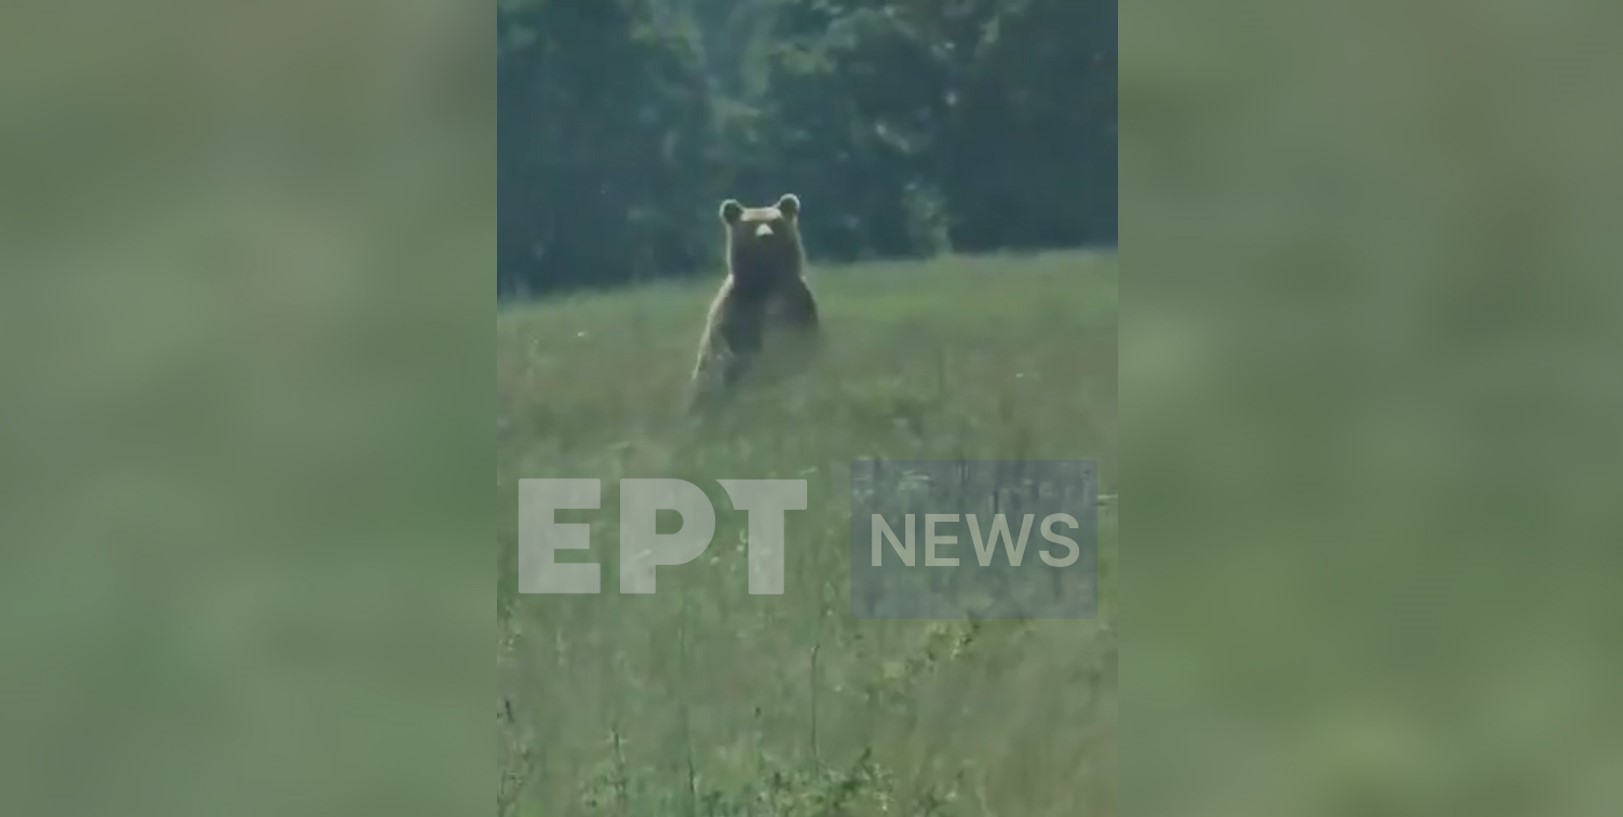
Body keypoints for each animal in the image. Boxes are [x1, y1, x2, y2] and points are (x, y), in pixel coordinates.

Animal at [688, 190, 824, 409]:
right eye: (750, 224)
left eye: (775, 221)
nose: (765, 236)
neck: (764, 281)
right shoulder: (737, 307)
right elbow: (729, 346)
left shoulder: (797, 304)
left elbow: (795, 346)